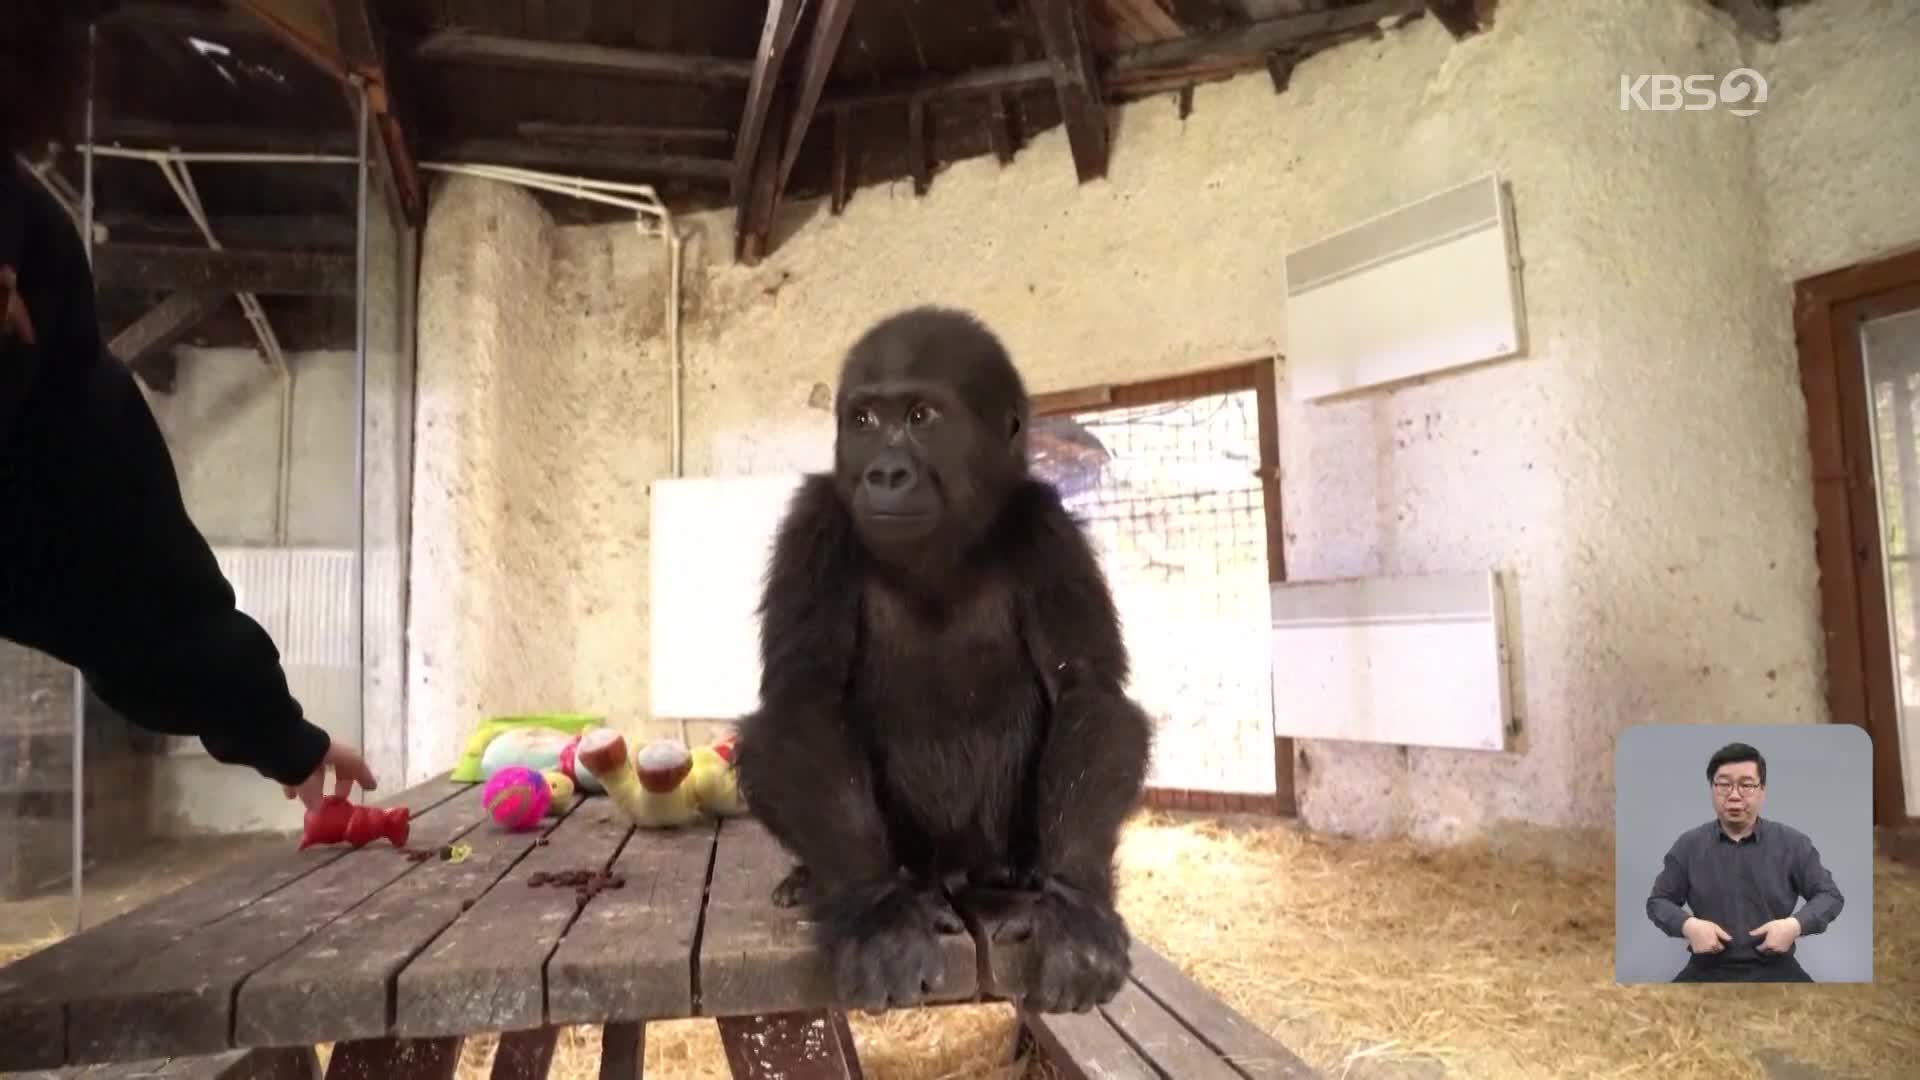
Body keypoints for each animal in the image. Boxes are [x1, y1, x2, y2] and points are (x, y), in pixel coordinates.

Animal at [733, 307, 1152, 1014]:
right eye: (863, 420)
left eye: (922, 416)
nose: (884, 474)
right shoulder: (815, 522)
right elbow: (803, 700)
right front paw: (875, 914)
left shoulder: (1048, 528)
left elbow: (1088, 694)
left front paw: (1076, 908)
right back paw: (837, 880)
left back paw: (1022, 870)